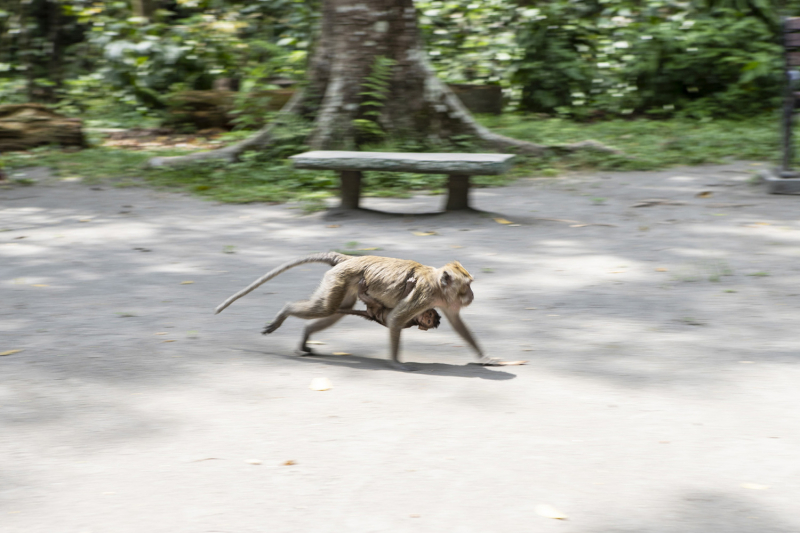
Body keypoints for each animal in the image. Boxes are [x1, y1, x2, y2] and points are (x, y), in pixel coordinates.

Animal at [214, 251, 520, 368]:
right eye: (467, 286)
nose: (472, 295)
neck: (436, 285)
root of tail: (349, 257)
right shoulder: (423, 296)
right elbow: (396, 318)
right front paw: (396, 362)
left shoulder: (445, 303)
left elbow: (459, 326)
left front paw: (485, 358)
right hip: (339, 279)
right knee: (325, 308)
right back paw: (285, 312)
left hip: (342, 284)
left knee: (334, 310)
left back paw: (305, 335)